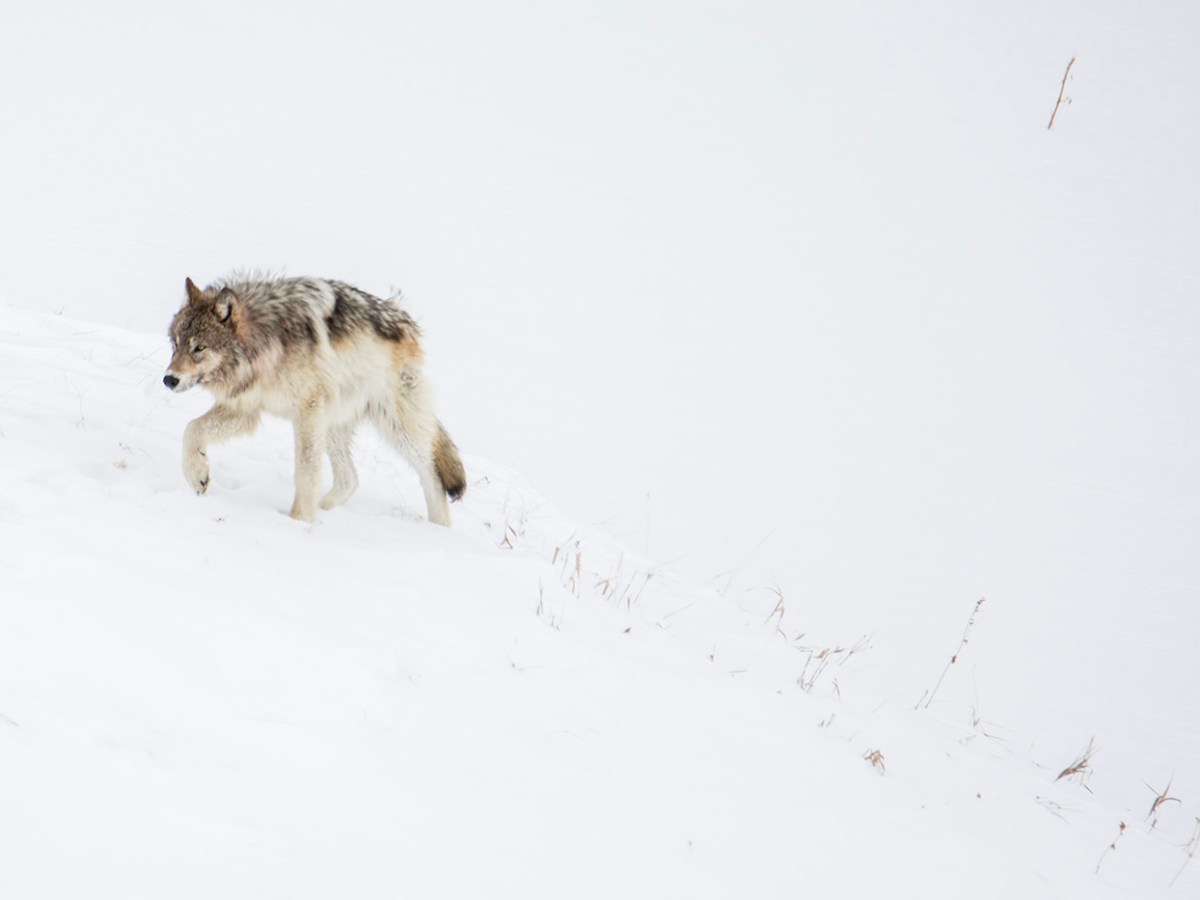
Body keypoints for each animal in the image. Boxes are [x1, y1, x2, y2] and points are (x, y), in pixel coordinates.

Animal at [163, 275, 466, 525]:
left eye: (199, 348)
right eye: (176, 344)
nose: (169, 379)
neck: (267, 342)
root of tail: (408, 323)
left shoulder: (306, 411)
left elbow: (306, 470)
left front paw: (299, 521)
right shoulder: (245, 409)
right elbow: (192, 429)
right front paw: (197, 475)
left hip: (394, 426)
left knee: (432, 474)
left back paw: (439, 530)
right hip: (332, 425)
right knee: (350, 479)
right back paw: (323, 509)